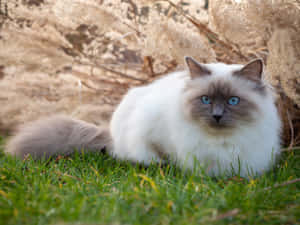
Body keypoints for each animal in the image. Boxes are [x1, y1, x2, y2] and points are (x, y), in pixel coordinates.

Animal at [4, 57, 282, 178]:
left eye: (233, 101)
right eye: (205, 100)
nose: (216, 116)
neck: (222, 141)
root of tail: (110, 133)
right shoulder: (154, 136)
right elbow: (165, 156)